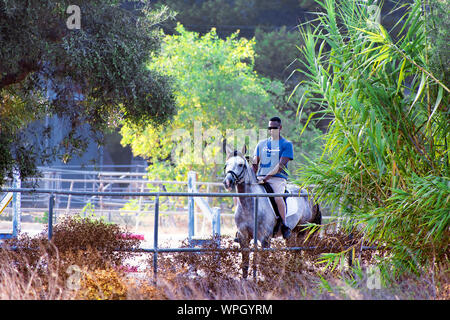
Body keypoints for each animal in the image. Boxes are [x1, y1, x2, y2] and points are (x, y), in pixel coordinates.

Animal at [221, 146, 320, 278]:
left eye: (241, 165)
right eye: (226, 165)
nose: (228, 182)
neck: (250, 205)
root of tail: (309, 193)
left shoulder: (265, 239)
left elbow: (263, 264)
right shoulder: (243, 237)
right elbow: (245, 264)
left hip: (302, 230)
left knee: (298, 251)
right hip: (292, 233)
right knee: (291, 250)